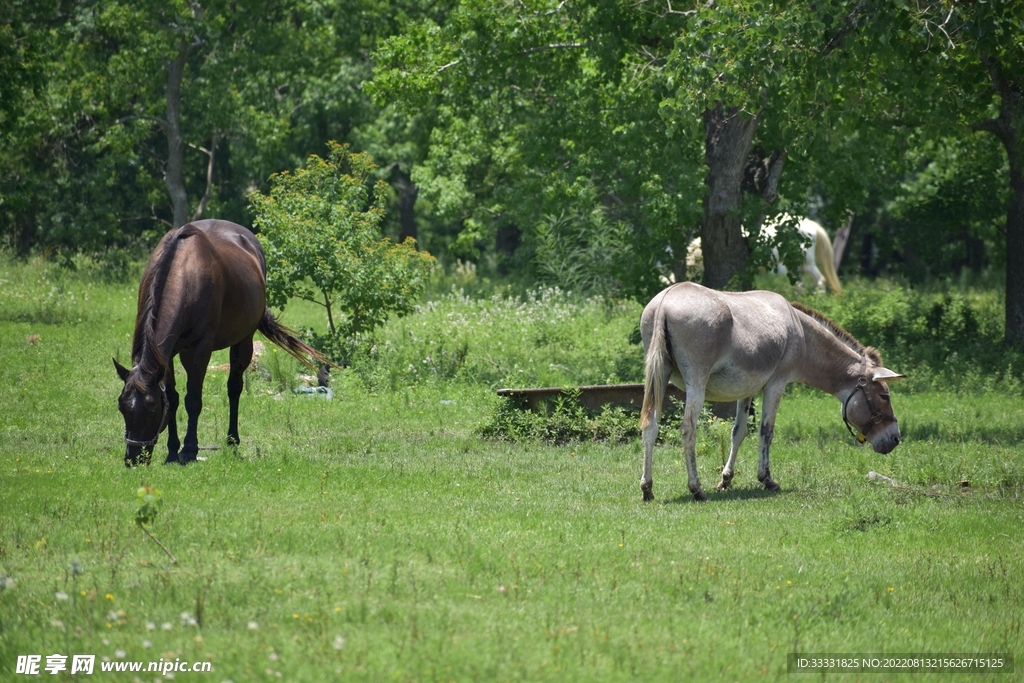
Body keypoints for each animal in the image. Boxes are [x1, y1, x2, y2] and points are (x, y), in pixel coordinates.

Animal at [113, 219, 331, 467]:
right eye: (121, 406)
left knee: (234, 388)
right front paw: (172, 452)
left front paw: (189, 451)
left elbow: (193, 400)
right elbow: (172, 398)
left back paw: (232, 441)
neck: (184, 273)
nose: (133, 459)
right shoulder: (165, 357)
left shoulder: (198, 351)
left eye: (151, 408)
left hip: (243, 342)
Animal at [638, 282, 903, 502]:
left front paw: (726, 479)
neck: (801, 333)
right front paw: (766, 479)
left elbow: (739, 432)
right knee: (688, 429)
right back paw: (696, 488)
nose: (895, 439)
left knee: (650, 426)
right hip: (696, 383)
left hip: (659, 377)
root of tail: (666, 299)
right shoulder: (777, 384)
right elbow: (767, 431)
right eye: (884, 396)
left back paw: (647, 489)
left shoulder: (747, 390)